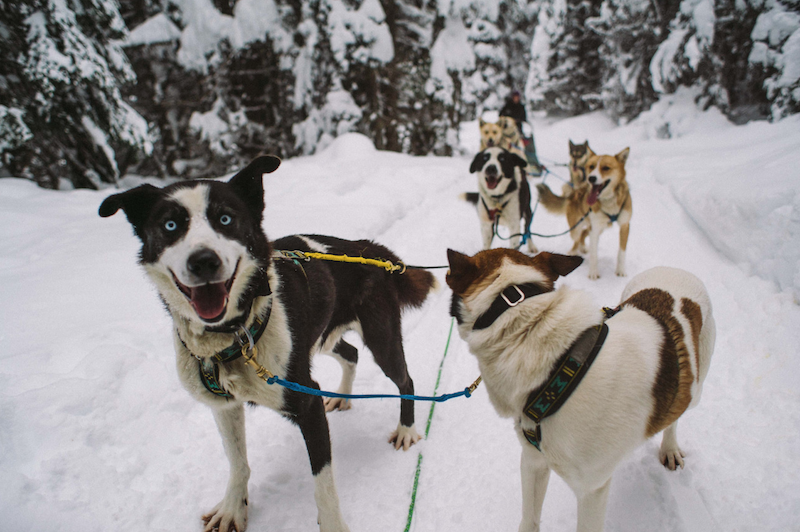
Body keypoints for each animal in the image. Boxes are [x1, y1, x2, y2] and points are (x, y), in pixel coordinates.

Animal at [101, 155, 440, 532]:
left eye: (225, 218)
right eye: (171, 225)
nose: (203, 261)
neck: (233, 335)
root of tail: (367, 249)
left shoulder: (307, 404)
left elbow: (323, 484)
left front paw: (332, 523)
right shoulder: (225, 407)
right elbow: (237, 462)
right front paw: (233, 507)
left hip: (381, 340)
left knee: (405, 380)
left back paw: (406, 430)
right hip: (318, 339)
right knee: (350, 353)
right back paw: (342, 396)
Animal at [446, 248, 716, 532]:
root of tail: (675, 269)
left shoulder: (591, 489)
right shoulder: (533, 460)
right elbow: (529, 519)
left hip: (697, 384)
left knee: (679, 409)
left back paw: (670, 447)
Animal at [536, 145, 632, 278]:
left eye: (606, 168)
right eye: (591, 166)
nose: (591, 178)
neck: (609, 202)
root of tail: (573, 193)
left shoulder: (624, 225)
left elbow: (621, 252)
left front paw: (621, 270)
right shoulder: (595, 228)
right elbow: (594, 253)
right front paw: (593, 273)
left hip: (599, 227)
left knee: (583, 234)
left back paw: (582, 248)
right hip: (577, 228)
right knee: (578, 237)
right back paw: (574, 252)